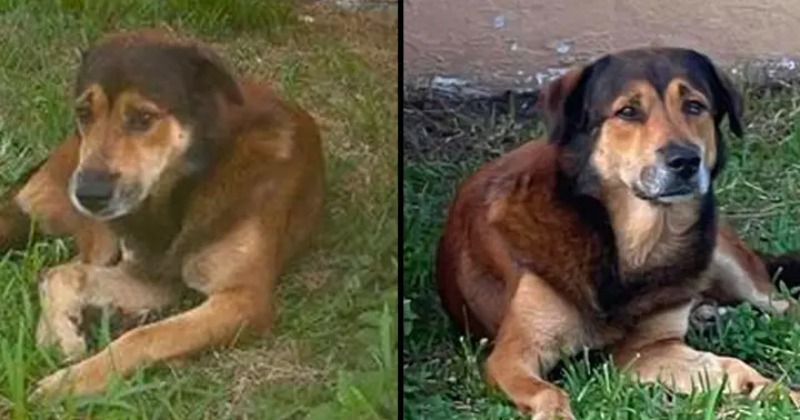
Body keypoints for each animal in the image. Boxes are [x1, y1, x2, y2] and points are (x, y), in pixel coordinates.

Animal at [0, 28, 328, 398]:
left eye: (144, 118)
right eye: (84, 112)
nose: (87, 194)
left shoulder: (243, 299)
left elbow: (147, 336)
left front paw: (70, 384)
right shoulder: (150, 275)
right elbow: (65, 275)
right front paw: (66, 344)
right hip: (98, 231)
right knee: (62, 268)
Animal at [438, 47, 800, 418]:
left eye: (694, 106)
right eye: (628, 111)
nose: (685, 161)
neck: (629, 246)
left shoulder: (651, 349)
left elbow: (736, 368)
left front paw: (783, 394)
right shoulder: (512, 355)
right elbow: (550, 393)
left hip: (726, 260)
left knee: (783, 304)